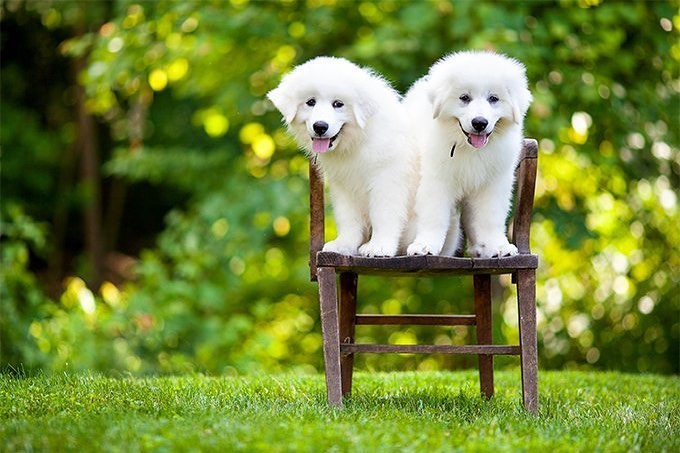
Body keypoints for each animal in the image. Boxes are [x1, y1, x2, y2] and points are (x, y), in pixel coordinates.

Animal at [266, 55, 414, 258]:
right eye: (310, 102)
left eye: (338, 104)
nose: (320, 126)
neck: (357, 142)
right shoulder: (343, 185)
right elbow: (348, 218)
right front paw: (344, 245)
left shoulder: (387, 179)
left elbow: (383, 214)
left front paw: (379, 246)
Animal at [404, 50, 532, 258]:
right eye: (464, 98)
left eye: (493, 99)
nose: (479, 123)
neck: (470, 149)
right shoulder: (436, 180)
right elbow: (434, 215)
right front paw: (425, 245)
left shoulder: (494, 183)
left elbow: (490, 217)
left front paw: (498, 245)